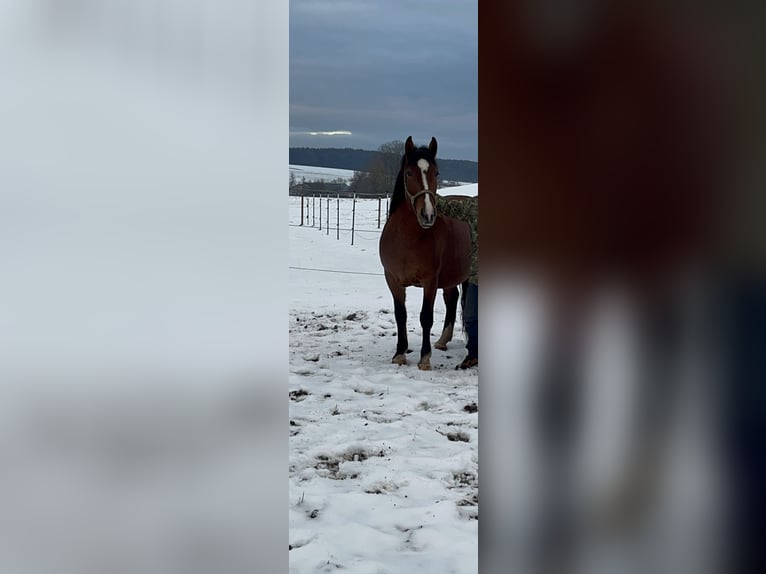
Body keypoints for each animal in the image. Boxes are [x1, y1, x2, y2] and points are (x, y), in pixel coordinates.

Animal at [380, 137, 474, 372]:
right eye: (409, 173)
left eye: (436, 173)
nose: (428, 215)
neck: (407, 239)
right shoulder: (392, 279)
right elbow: (400, 315)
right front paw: (400, 354)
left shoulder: (430, 281)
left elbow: (426, 317)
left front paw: (424, 358)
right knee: (452, 298)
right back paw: (442, 341)